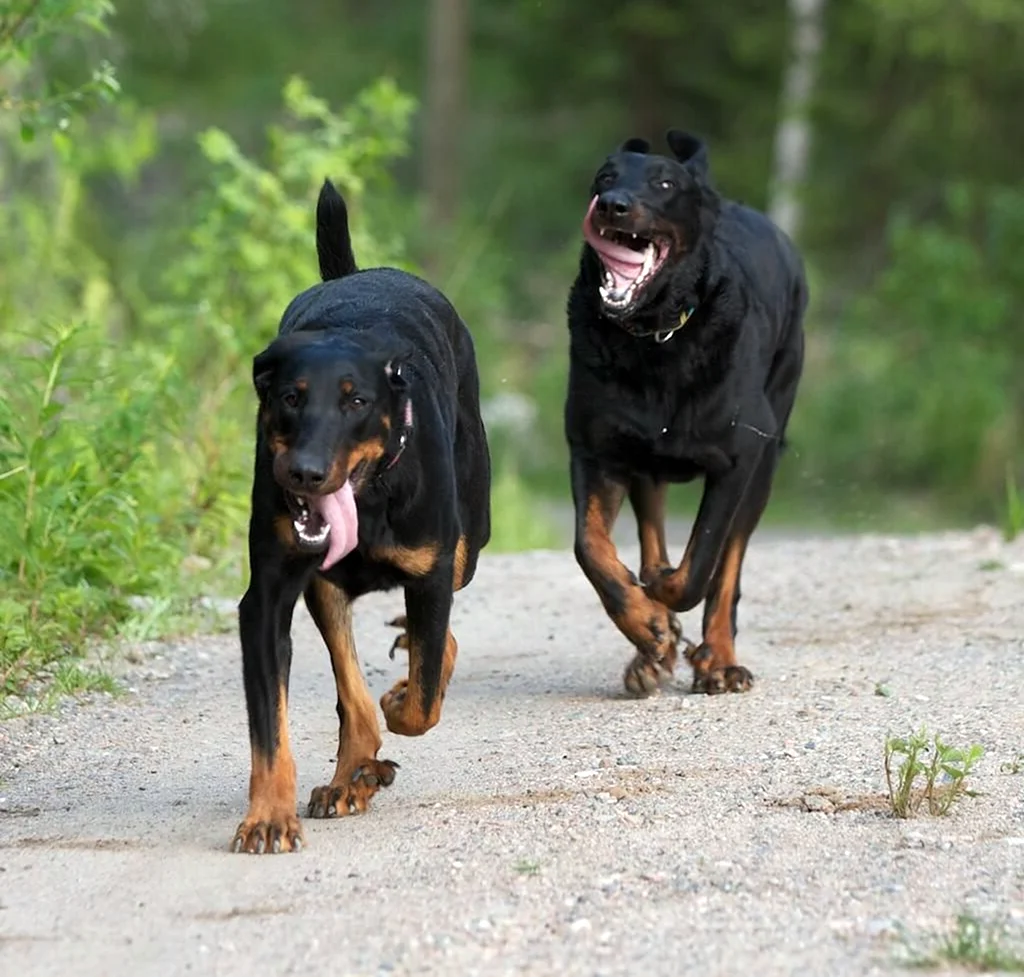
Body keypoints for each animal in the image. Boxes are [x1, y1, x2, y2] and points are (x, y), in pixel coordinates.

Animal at [234, 181, 489, 852]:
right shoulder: (267, 599)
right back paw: (352, 775)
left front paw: (403, 701)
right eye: (289, 397)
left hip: (467, 541)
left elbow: (422, 699)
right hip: (324, 583)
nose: (304, 473)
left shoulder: (431, 571)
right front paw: (269, 816)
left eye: (356, 401)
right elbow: (273, 726)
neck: (371, 499)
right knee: (351, 685)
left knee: (436, 641)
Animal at [565, 129, 802, 696]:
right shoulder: (595, 449)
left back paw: (718, 659)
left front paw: (665, 612)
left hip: (766, 460)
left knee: (727, 569)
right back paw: (649, 648)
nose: (613, 204)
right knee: (651, 527)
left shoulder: (740, 458)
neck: (656, 337)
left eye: (665, 184)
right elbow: (591, 547)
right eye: (605, 177)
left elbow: (702, 564)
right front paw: (646, 624)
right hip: (644, 460)